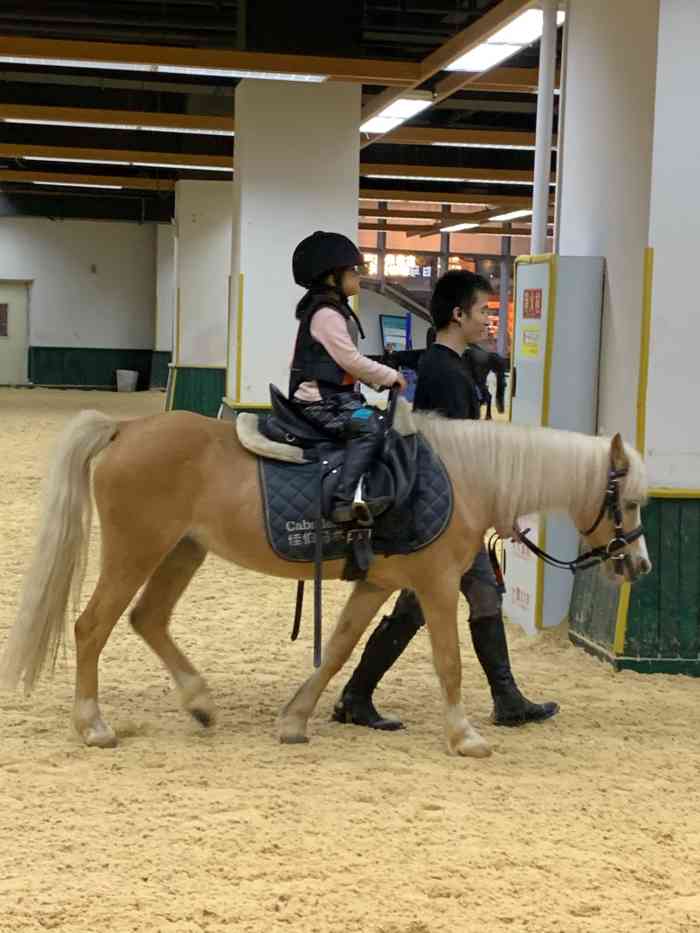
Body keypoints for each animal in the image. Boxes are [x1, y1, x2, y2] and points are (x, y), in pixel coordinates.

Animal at [0, 406, 652, 756]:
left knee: (147, 619)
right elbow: (449, 661)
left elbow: (340, 648)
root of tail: (127, 427)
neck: (462, 476)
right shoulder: (436, 585)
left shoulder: (378, 584)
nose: (638, 566)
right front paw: (465, 735)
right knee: (92, 627)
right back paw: (94, 726)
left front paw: (295, 719)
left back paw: (201, 703)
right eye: (628, 502)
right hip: (136, 552)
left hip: (182, 552)